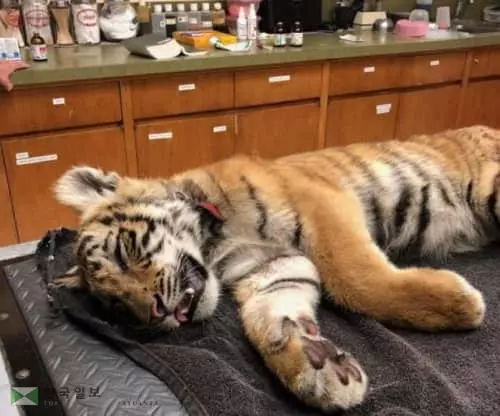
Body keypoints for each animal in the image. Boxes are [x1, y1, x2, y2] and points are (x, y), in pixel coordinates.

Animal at [52, 125, 498, 413]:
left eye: (124, 253)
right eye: (116, 305)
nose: (155, 313)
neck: (215, 244)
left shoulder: (323, 207)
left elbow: (355, 277)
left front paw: (459, 304)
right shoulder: (272, 267)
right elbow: (270, 318)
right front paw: (317, 367)